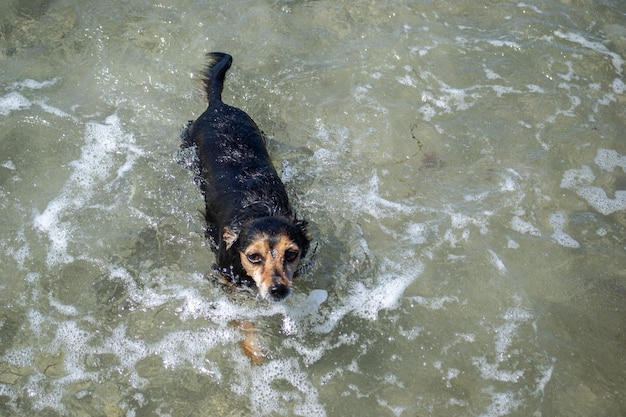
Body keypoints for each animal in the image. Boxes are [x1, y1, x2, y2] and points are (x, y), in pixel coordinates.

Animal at [182, 52, 310, 300]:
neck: (261, 208)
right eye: (253, 257)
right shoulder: (225, 275)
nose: (278, 290)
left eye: (291, 253)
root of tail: (218, 106)